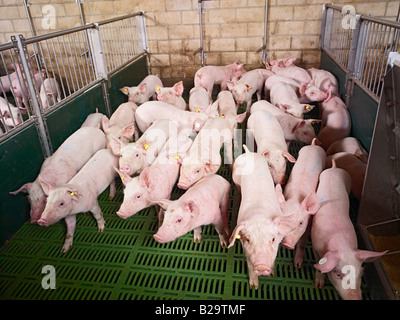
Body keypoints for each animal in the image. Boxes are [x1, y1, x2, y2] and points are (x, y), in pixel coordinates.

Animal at [228, 144, 300, 288]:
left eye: (272, 239)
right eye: (248, 239)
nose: (261, 266)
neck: (259, 216)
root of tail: (248, 153)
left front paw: (272, 274)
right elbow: (249, 264)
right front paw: (254, 287)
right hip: (236, 179)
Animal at [312, 160, 388, 300]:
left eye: (360, 274)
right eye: (337, 274)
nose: (355, 298)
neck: (342, 244)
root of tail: (334, 168)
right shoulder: (315, 246)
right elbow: (319, 265)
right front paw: (319, 286)